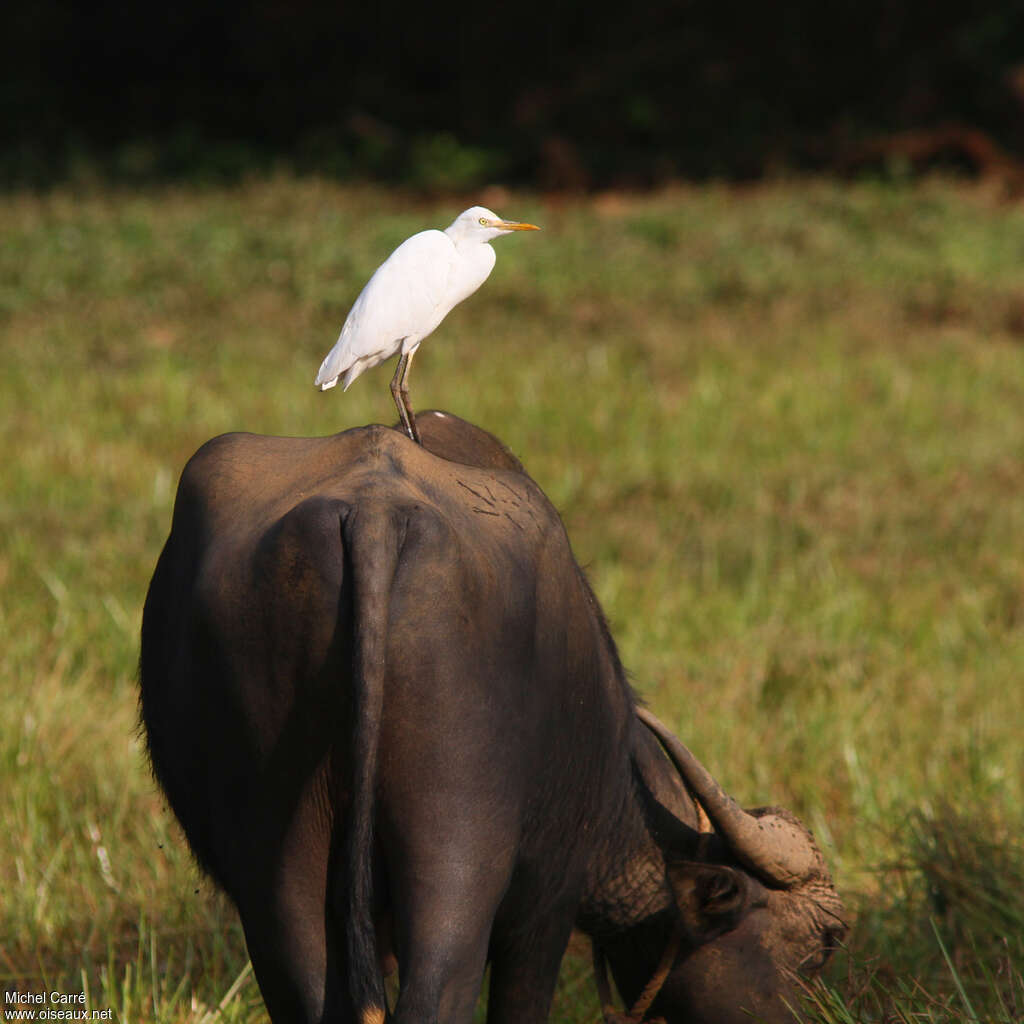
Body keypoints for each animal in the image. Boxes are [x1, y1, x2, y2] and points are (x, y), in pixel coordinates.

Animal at [144, 409, 847, 1024]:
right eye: (824, 942)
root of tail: (374, 517)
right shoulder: (547, 903)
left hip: (279, 856)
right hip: (459, 846)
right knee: (439, 994)